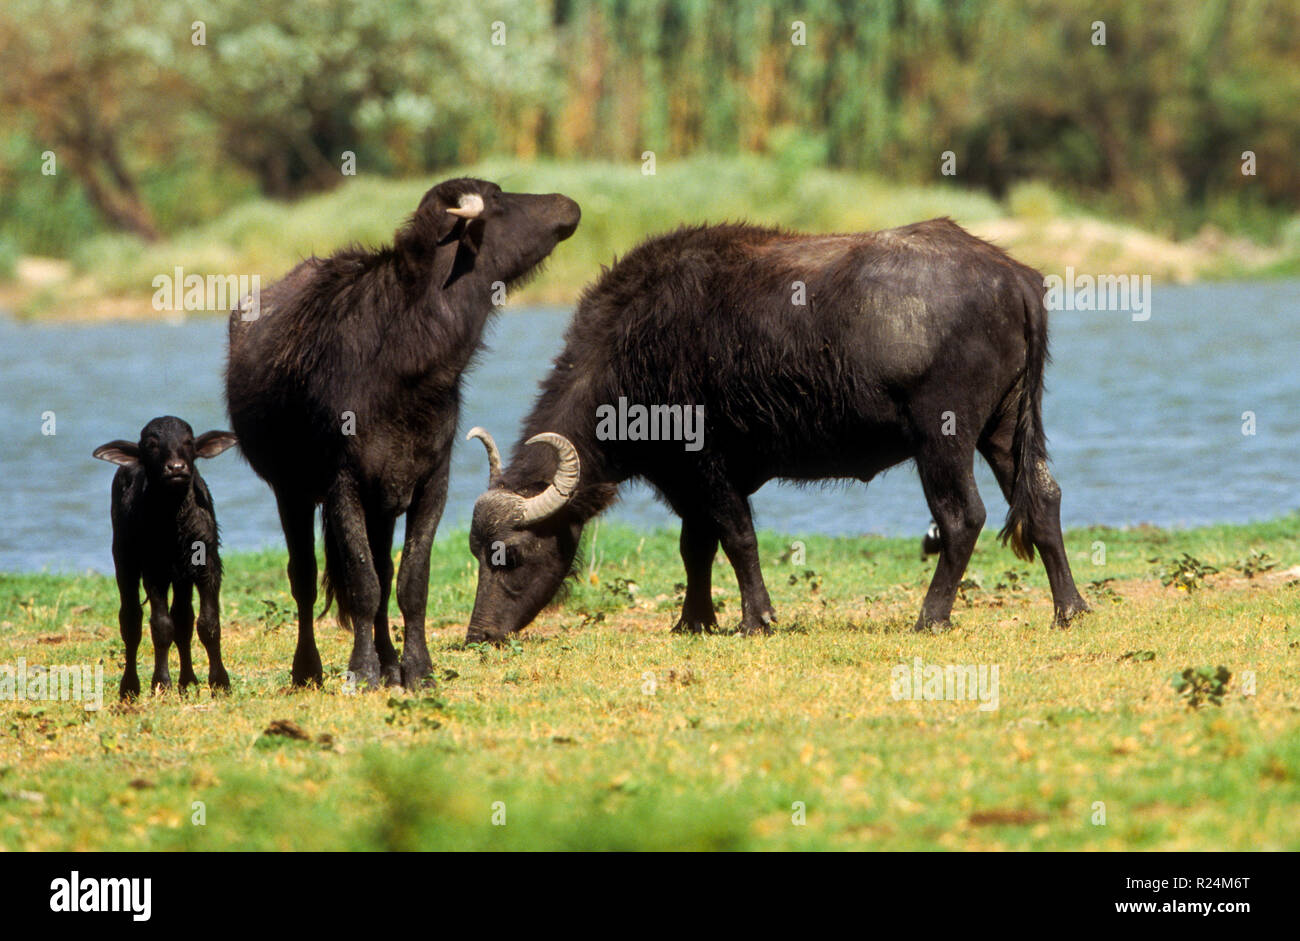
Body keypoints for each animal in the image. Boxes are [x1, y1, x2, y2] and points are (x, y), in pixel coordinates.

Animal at [227, 178, 579, 686]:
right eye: (497, 198)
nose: (566, 204)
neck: (406, 359)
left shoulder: (430, 480)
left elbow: (410, 580)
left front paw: (416, 668)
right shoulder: (342, 484)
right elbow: (361, 581)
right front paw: (361, 671)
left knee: (382, 568)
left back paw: (389, 662)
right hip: (290, 491)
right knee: (305, 577)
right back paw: (308, 668)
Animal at [465, 217, 1086, 639]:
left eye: (511, 555)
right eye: (477, 556)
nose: (480, 635)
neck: (635, 350)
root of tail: (1015, 278)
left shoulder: (708, 465)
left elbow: (737, 537)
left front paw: (755, 618)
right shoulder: (686, 480)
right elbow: (696, 547)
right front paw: (694, 620)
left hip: (943, 438)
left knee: (963, 519)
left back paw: (930, 616)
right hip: (1004, 430)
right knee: (1043, 499)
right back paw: (1070, 607)